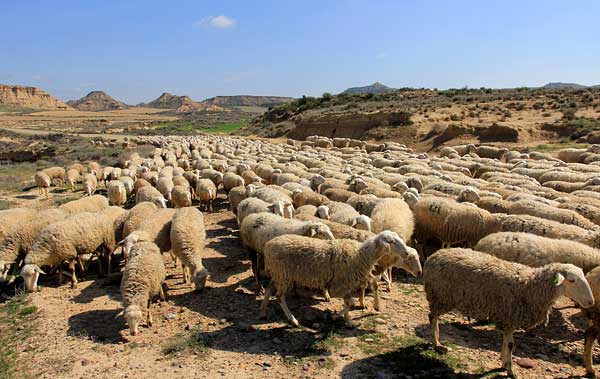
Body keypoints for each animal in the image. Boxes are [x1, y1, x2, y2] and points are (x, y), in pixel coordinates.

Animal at [262, 230, 422, 328]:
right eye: (391, 241)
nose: (406, 252)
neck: (360, 255)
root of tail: (268, 245)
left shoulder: (347, 284)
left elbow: (349, 303)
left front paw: (347, 320)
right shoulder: (340, 285)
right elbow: (350, 303)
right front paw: (336, 316)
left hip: (278, 274)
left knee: (269, 289)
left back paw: (263, 311)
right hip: (283, 274)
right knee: (280, 297)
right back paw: (292, 319)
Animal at [424, 249, 592, 378]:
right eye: (572, 280)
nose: (591, 302)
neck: (530, 286)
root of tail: (434, 255)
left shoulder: (508, 318)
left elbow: (507, 342)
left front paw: (504, 363)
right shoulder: (510, 315)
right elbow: (511, 344)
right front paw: (510, 370)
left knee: (434, 317)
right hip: (440, 295)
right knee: (432, 317)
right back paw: (437, 343)